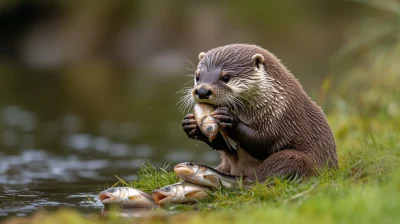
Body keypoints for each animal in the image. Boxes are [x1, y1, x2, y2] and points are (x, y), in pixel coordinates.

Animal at [181, 44, 338, 182]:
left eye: (226, 77)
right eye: (197, 76)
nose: (202, 91)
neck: (276, 100)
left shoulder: (281, 117)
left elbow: (263, 142)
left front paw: (230, 119)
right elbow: (224, 146)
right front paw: (190, 124)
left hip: (293, 158)